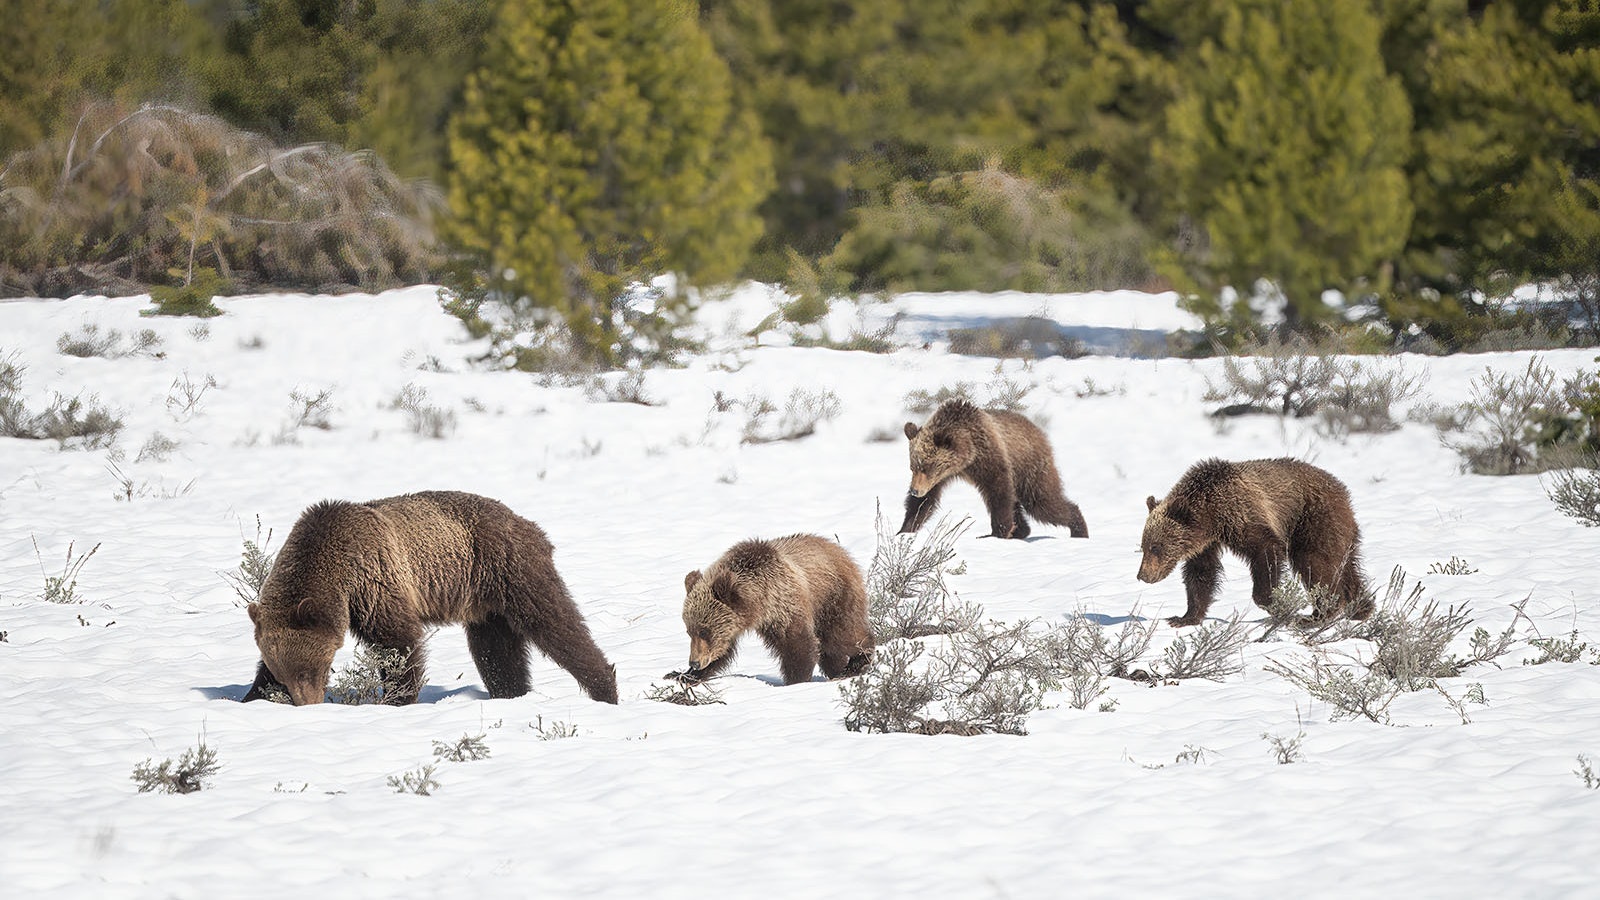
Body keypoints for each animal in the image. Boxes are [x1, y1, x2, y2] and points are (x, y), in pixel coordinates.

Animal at [242, 490, 618, 706]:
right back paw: (510, 693)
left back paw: (605, 688)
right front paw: (252, 695)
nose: (308, 703)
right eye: (285, 673)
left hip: (508, 568)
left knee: (555, 623)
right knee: (496, 652)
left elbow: (398, 643)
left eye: (313, 669)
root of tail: (526, 522)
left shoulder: (375, 582)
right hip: (485, 604)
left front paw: (398, 699)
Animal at [674, 534, 873, 686]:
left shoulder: (783, 605)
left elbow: (798, 645)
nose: (695, 662)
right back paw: (838, 669)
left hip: (832, 596)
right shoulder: (735, 625)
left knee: (840, 635)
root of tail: (840, 550)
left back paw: (857, 662)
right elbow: (722, 651)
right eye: (689, 631)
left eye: (704, 631)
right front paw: (683, 675)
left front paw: (796, 680)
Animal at [900, 399, 1089, 540]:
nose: (914, 490)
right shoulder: (941, 477)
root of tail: (1037, 429)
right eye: (913, 467)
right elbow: (924, 502)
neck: (967, 455)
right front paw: (905, 529)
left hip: (1029, 467)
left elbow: (998, 491)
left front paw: (997, 532)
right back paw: (1021, 530)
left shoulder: (988, 456)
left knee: (1041, 502)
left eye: (926, 467)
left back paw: (1079, 528)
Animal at [1138, 458, 1370, 627]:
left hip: (1313, 519)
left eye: (1156, 546)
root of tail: (1342, 489)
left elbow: (1265, 551)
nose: (1143, 575)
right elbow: (1201, 573)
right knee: (1345, 566)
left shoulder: (1242, 514)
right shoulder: (1205, 544)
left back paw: (1319, 615)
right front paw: (1185, 617)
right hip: (1339, 531)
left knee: (1314, 562)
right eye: (1143, 547)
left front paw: (1274, 602)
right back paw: (1361, 608)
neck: (1211, 515)